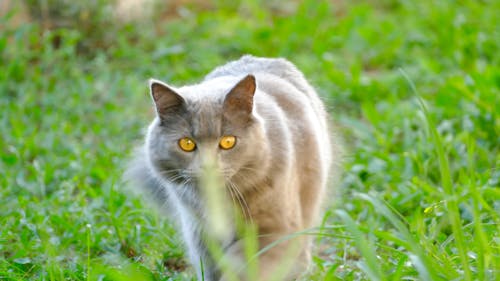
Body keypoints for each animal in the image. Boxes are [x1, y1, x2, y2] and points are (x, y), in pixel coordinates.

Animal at [128, 55, 340, 278]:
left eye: (228, 142)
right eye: (186, 144)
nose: (208, 166)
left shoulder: (273, 229)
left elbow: (244, 268)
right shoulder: (200, 234)